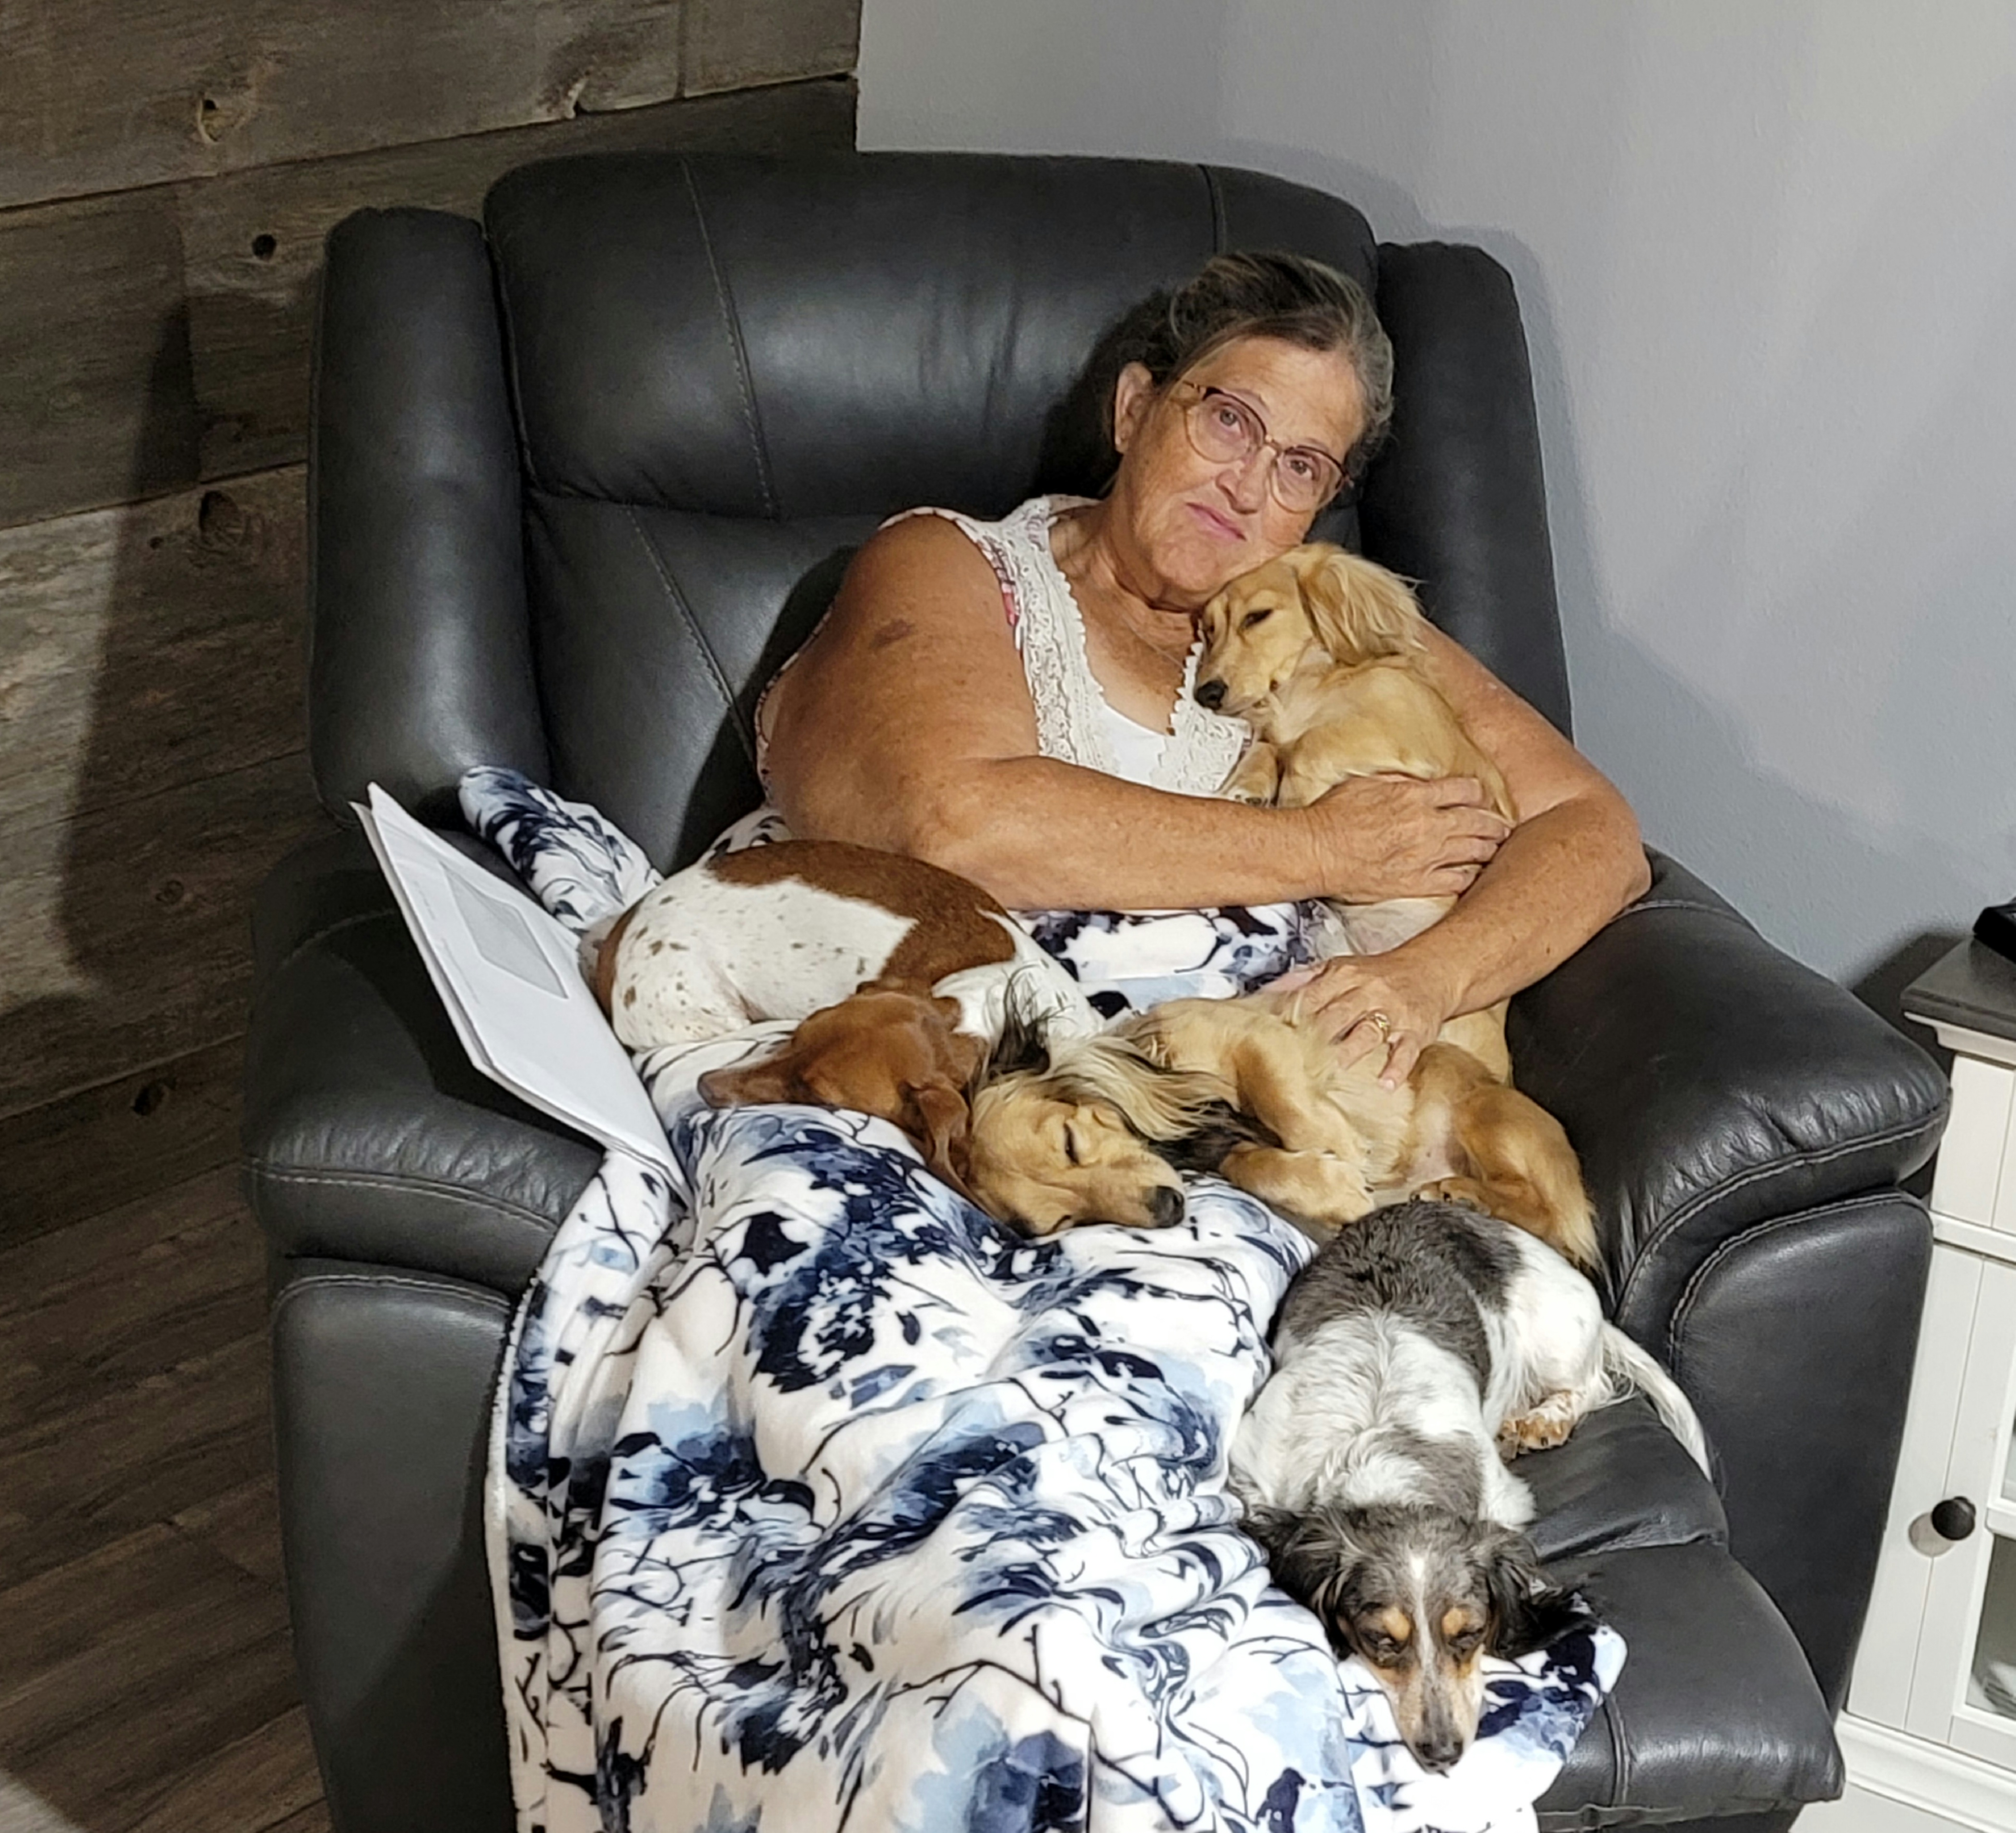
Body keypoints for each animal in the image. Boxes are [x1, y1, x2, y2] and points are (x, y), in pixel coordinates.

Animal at [1233, 1199, 1709, 1772]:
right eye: (1379, 1639)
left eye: (1470, 1633)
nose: (1443, 1753)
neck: (1383, 1459)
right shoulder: (1255, 1470)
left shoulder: (1503, 1500)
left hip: (1557, 1341)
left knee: (1589, 1384)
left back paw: (1540, 1422)